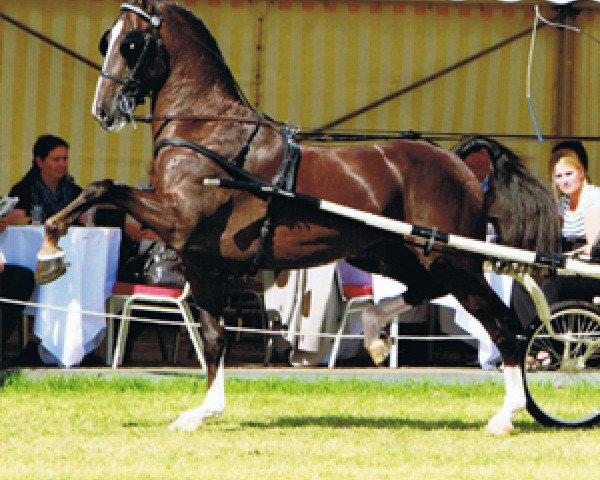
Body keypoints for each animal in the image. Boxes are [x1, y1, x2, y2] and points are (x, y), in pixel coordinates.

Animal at [36, 0, 564, 436]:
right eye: (106, 39)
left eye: (131, 43)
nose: (102, 111)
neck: (208, 130)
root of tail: (456, 161)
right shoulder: (200, 258)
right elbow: (214, 336)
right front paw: (204, 411)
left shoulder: (178, 221)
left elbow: (103, 187)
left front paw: (50, 250)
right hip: (393, 252)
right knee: (423, 291)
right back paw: (375, 332)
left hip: (451, 259)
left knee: (503, 324)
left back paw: (506, 415)